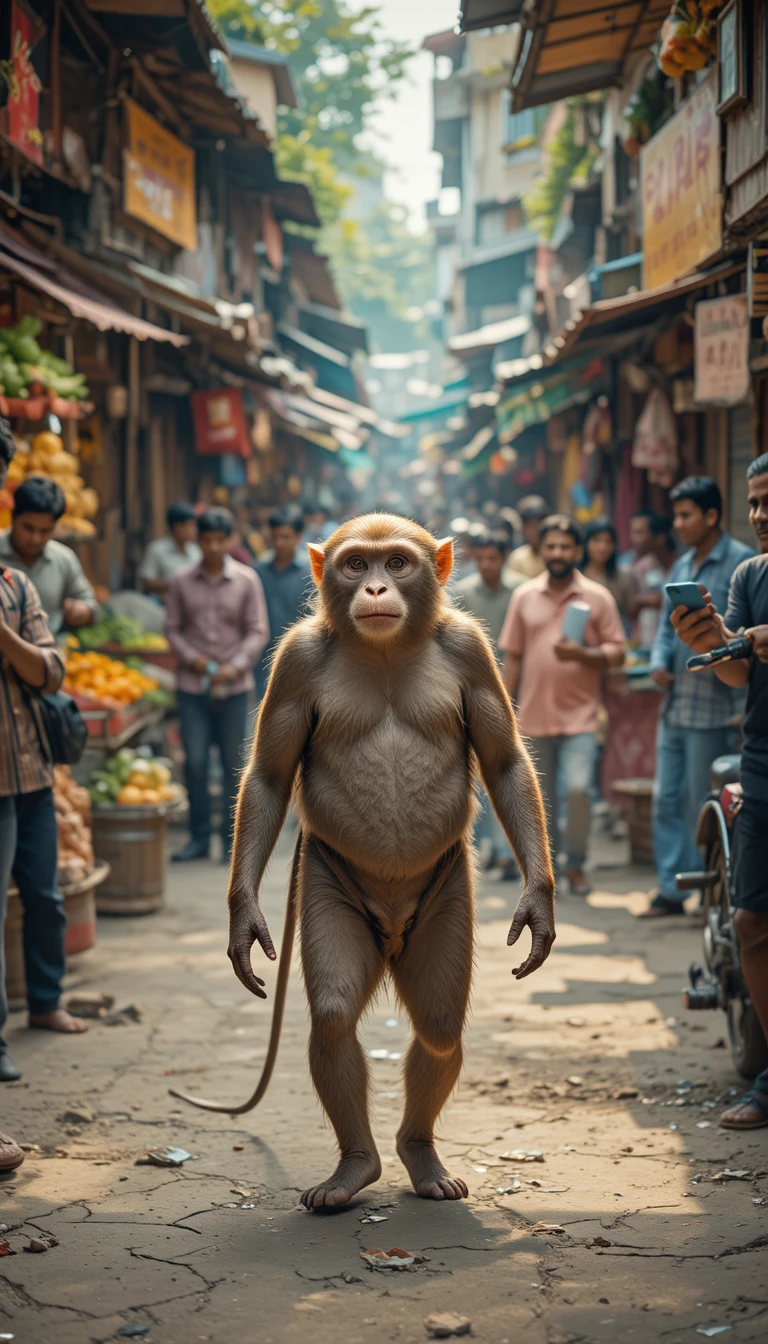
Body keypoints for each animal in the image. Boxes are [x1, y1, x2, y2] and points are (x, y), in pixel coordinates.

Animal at [172, 514, 555, 1209]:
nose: (376, 588)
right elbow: (270, 778)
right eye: (356, 565)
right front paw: (245, 919)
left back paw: (418, 1153)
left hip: (443, 894)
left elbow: (505, 760)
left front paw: (538, 904)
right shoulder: (295, 660)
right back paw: (357, 1165)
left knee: (438, 1026)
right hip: (331, 878)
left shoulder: (471, 651)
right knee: (333, 1019)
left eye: (397, 563)